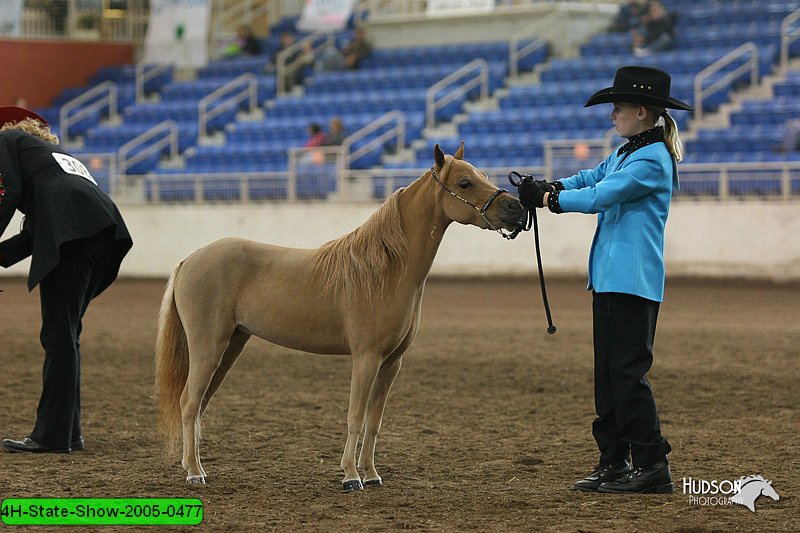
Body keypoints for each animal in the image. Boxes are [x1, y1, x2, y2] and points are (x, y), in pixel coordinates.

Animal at [155, 144, 524, 490]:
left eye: (484, 175)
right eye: (465, 182)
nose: (516, 209)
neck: (386, 271)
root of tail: (191, 259)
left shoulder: (392, 362)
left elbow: (374, 421)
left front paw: (371, 474)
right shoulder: (366, 358)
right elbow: (355, 417)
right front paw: (350, 476)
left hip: (231, 346)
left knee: (199, 404)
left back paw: (194, 466)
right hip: (208, 348)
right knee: (189, 402)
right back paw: (195, 473)